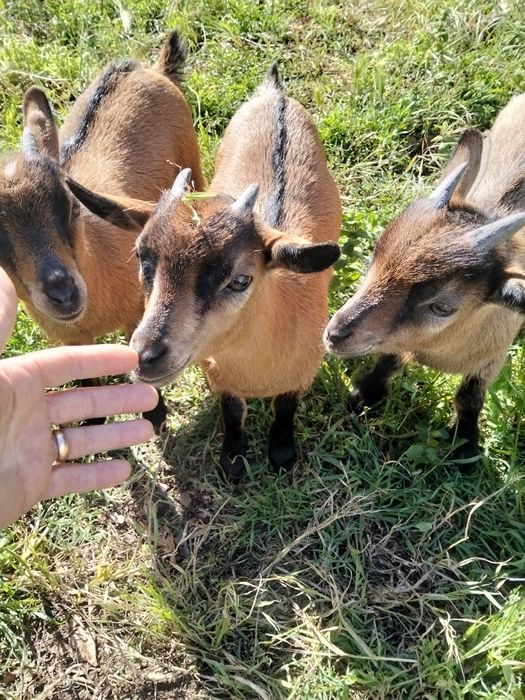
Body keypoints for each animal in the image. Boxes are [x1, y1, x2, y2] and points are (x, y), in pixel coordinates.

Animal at [0, 31, 205, 433]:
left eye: (70, 206)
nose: (63, 293)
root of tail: (149, 68)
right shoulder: (72, 341)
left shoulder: (137, 313)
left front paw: (155, 417)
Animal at [67, 64, 342, 480]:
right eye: (141, 257)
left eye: (240, 279)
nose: (145, 355)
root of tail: (274, 93)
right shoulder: (219, 376)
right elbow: (233, 411)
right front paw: (232, 460)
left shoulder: (300, 374)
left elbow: (285, 408)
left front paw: (281, 454)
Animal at [325, 96, 525, 463]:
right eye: (374, 254)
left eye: (442, 307)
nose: (335, 334)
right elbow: (389, 359)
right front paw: (365, 395)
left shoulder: (493, 354)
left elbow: (470, 397)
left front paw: (465, 447)